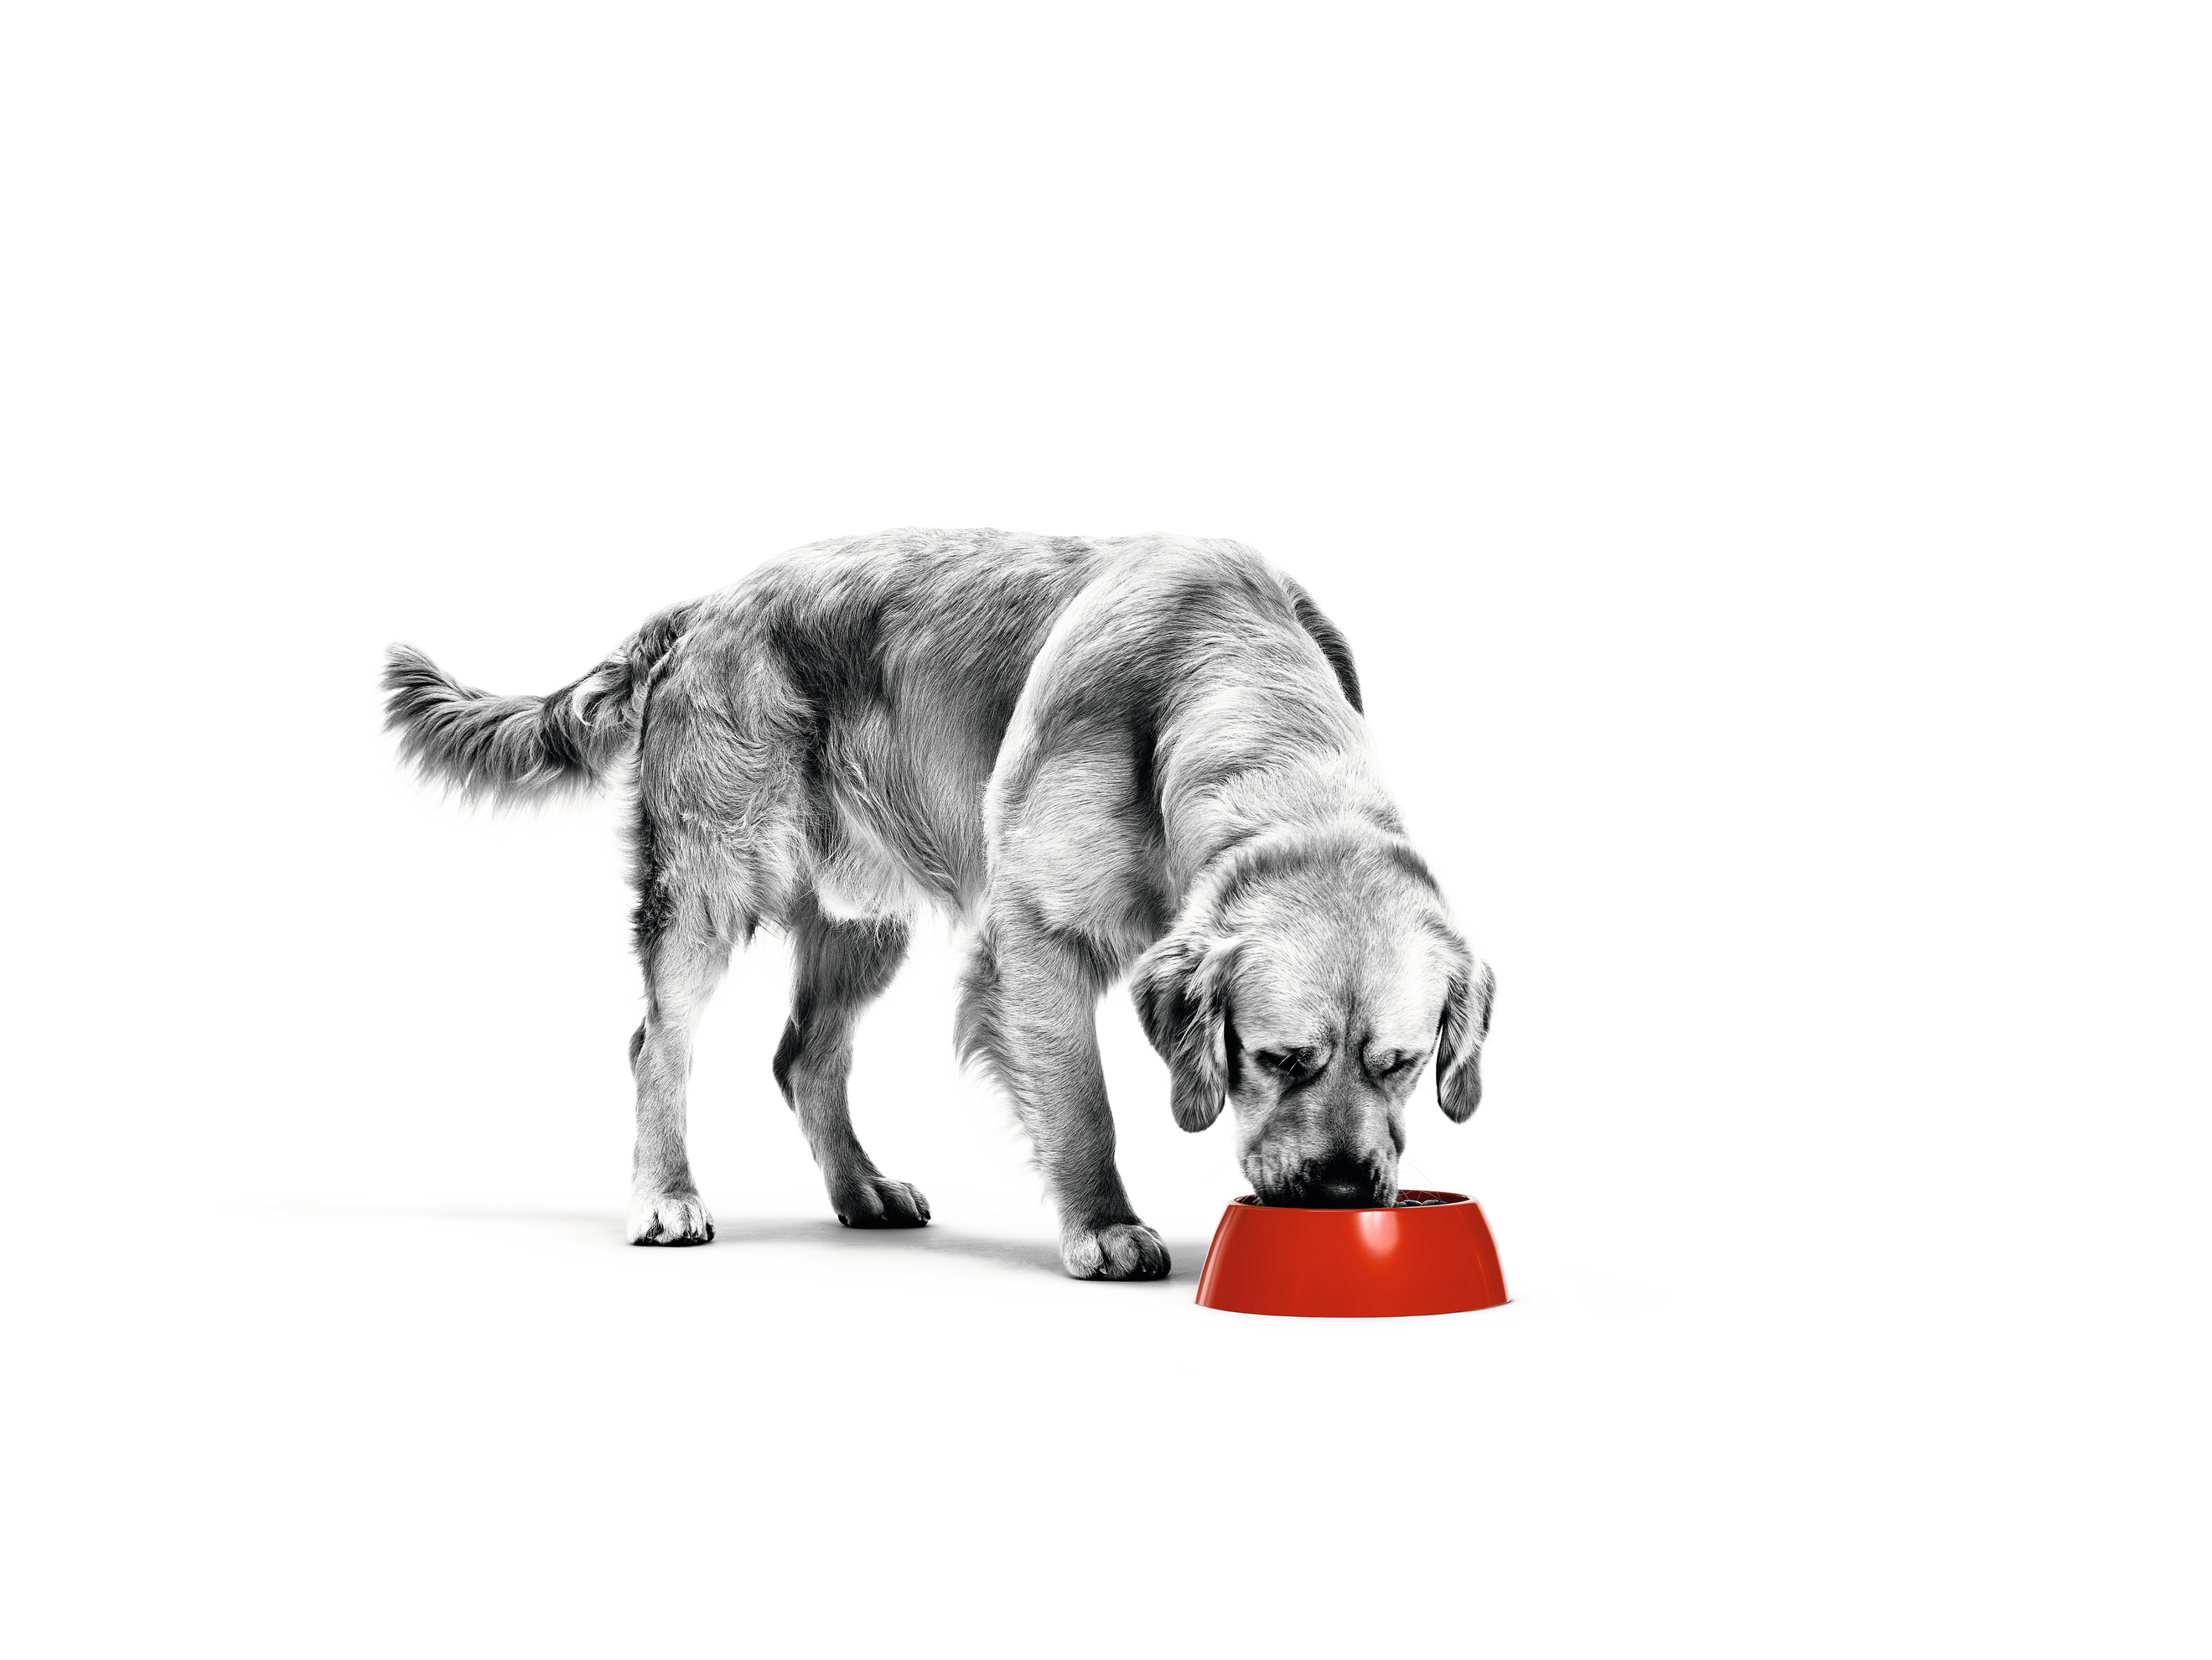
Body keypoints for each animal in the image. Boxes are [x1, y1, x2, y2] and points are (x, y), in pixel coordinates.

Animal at [380, 527, 1495, 1284]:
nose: (1344, 1192)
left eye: (1401, 1065)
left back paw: (859, 1189)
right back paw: (667, 1197)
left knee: (805, 1056)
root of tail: (706, 607)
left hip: (863, 920)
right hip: (710, 882)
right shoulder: (1035, 937)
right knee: (658, 1044)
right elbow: (1081, 1101)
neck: (1219, 678)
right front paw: (1103, 1225)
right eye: (1276, 1059)